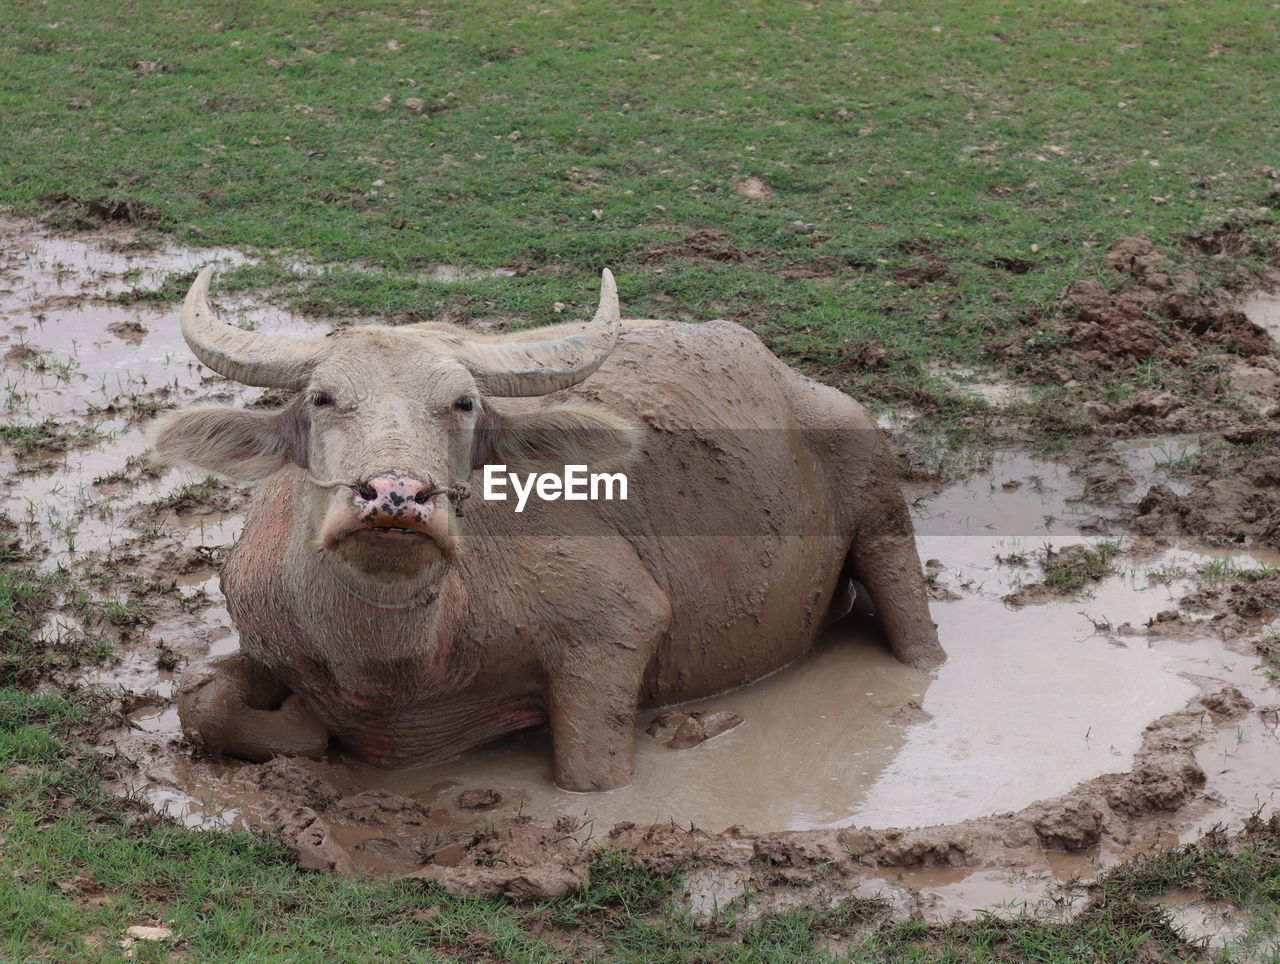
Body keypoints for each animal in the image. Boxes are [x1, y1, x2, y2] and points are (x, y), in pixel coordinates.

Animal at [154, 265, 947, 788]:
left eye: (464, 404)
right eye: (321, 398)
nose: (396, 497)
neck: (388, 663)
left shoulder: (616, 625)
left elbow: (591, 772)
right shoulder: (262, 632)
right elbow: (200, 697)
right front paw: (300, 726)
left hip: (876, 490)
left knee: (913, 625)